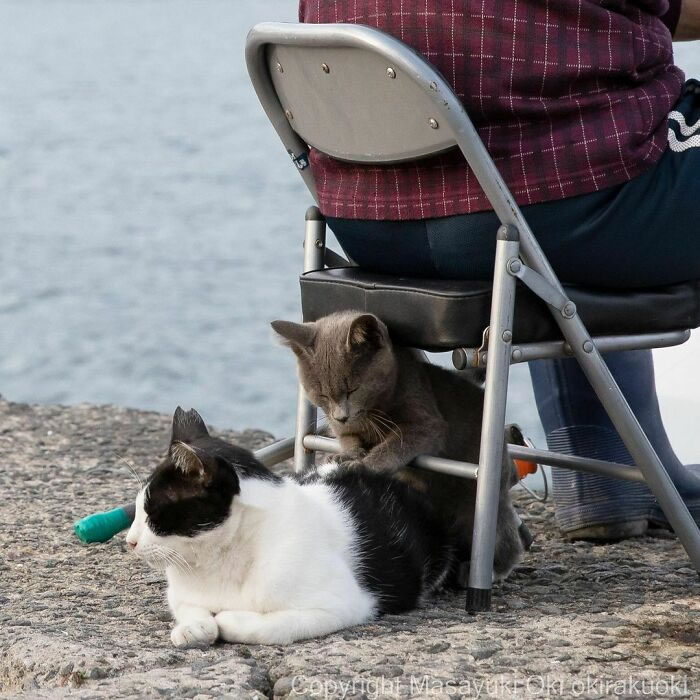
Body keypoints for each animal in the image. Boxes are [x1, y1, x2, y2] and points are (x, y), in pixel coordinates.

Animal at [126, 408, 454, 648]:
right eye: (137, 509)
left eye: (154, 513)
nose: (129, 541)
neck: (220, 559)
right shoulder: (180, 594)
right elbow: (190, 607)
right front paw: (195, 627)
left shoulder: (345, 604)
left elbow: (272, 626)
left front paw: (228, 620)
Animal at [270, 312, 524, 580]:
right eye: (322, 395)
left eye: (353, 389)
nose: (341, 415)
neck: (375, 408)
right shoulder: (342, 426)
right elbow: (348, 436)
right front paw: (344, 455)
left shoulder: (426, 421)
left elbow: (394, 445)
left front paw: (362, 465)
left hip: (477, 505)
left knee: (506, 539)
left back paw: (490, 570)